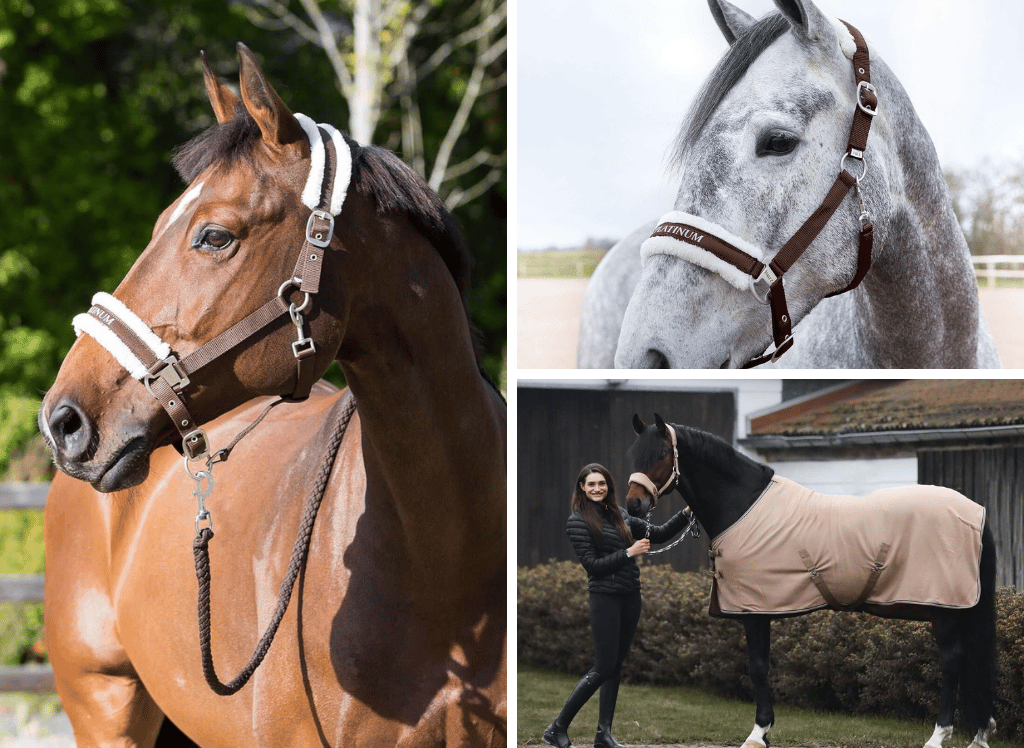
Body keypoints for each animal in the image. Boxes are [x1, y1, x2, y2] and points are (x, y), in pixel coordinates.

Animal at [626, 413, 995, 745]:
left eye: (661, 454)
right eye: (634, 453)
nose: (633, 506)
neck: (744, 506)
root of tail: (976, 512)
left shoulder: (754, 609)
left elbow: (757, 666)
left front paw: (758, 733)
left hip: (943, 607)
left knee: (953, 661)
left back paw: (938, 735)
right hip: (959, 607)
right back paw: (979, 735)